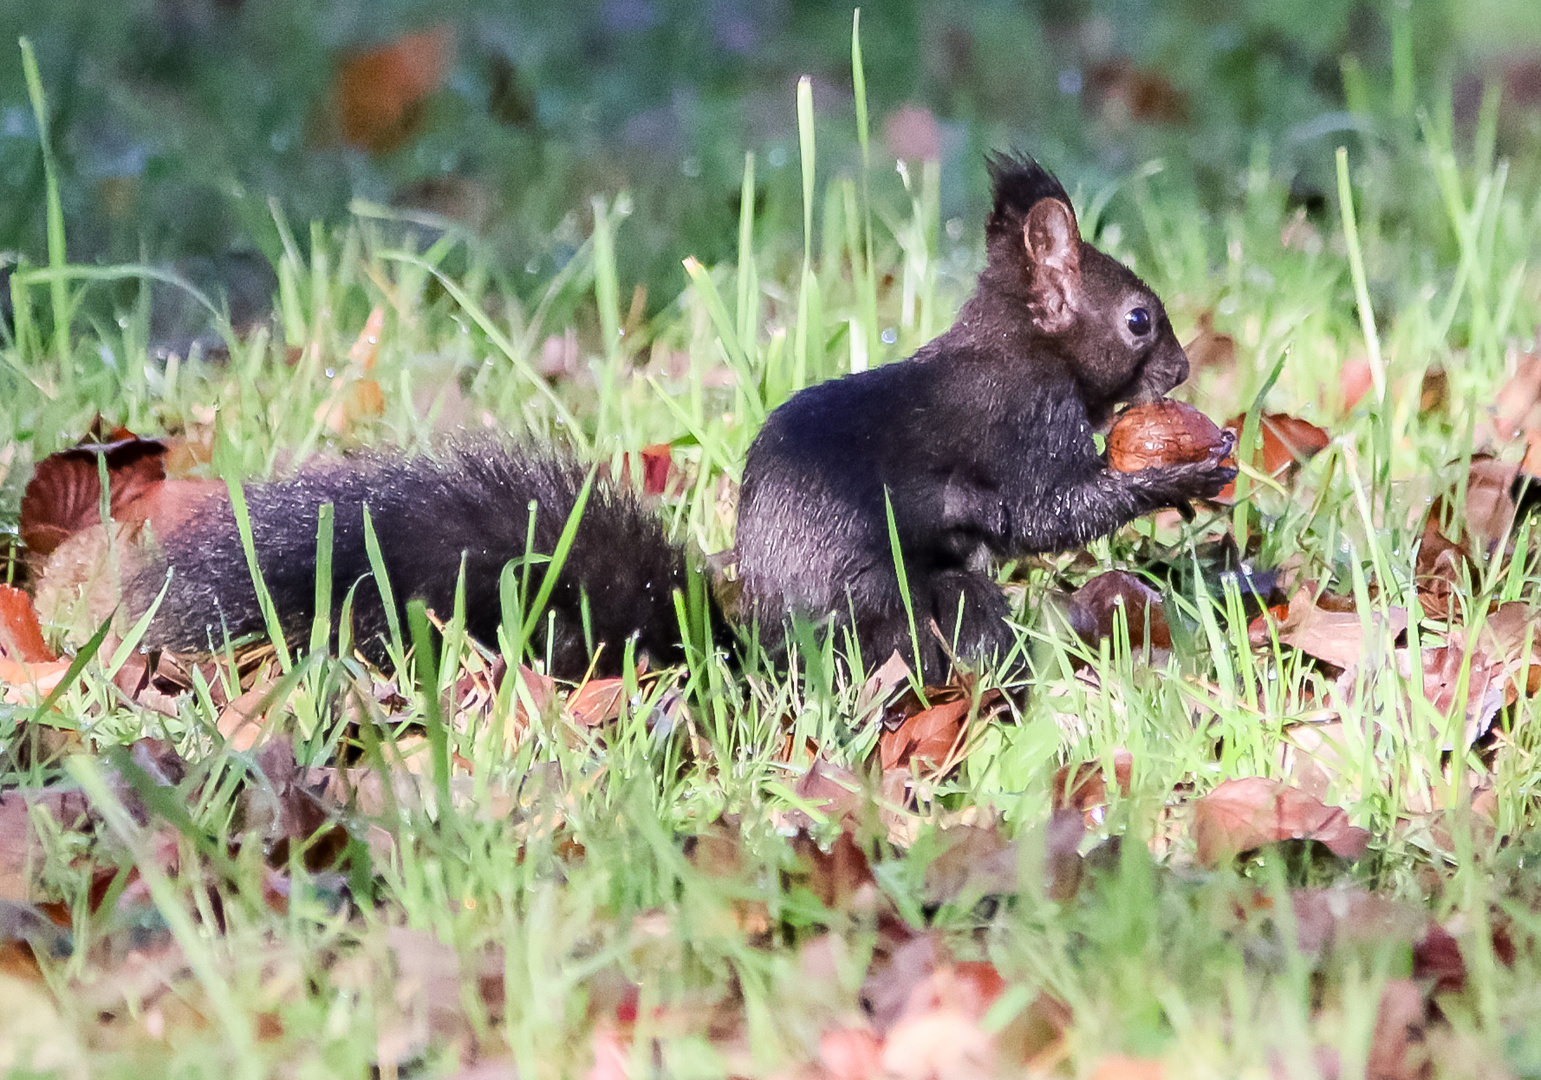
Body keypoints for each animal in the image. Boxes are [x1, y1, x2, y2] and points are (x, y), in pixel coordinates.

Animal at [132, 155, 1238, 677]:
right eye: (1137, 319)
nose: (1183, 364)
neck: (1018, 344)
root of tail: (764, 651)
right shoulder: (1023, 425)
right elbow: (1048, 512)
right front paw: (1181, 472)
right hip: (910, 603)